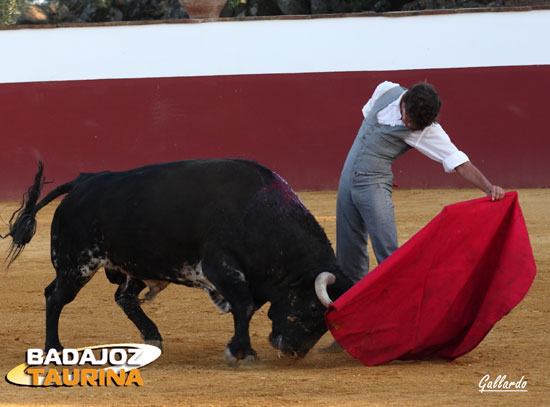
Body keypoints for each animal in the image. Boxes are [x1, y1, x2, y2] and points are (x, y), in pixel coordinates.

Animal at [2, 159, 354, 366]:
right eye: (312, 307)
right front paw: (239, 351)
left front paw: (245, 349)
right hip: (76, 265)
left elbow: (246, 308)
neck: (259, 214)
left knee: (123, 297)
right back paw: (54, 348)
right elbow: (243, 305)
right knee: (55, 297)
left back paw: (152, 335)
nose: (294, 352)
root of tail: (84, 180)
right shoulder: (220, 267)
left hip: (130, 266)